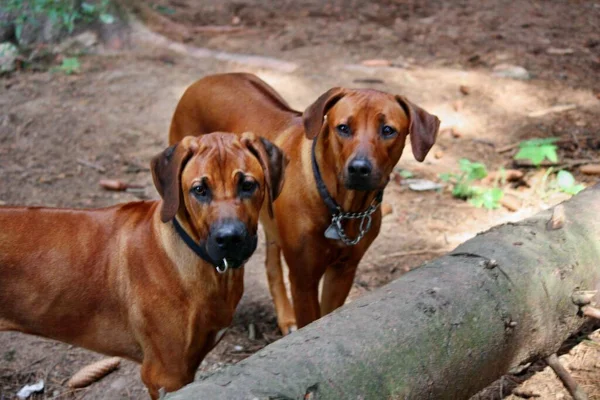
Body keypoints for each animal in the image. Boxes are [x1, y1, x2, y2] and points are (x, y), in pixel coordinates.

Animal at [169, 72, 440, 334]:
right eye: (343, 128)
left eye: (388, 130)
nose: (359, 169)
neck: (343, 208)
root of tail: (205, 80)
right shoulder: (303, 278)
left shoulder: (344, 271)